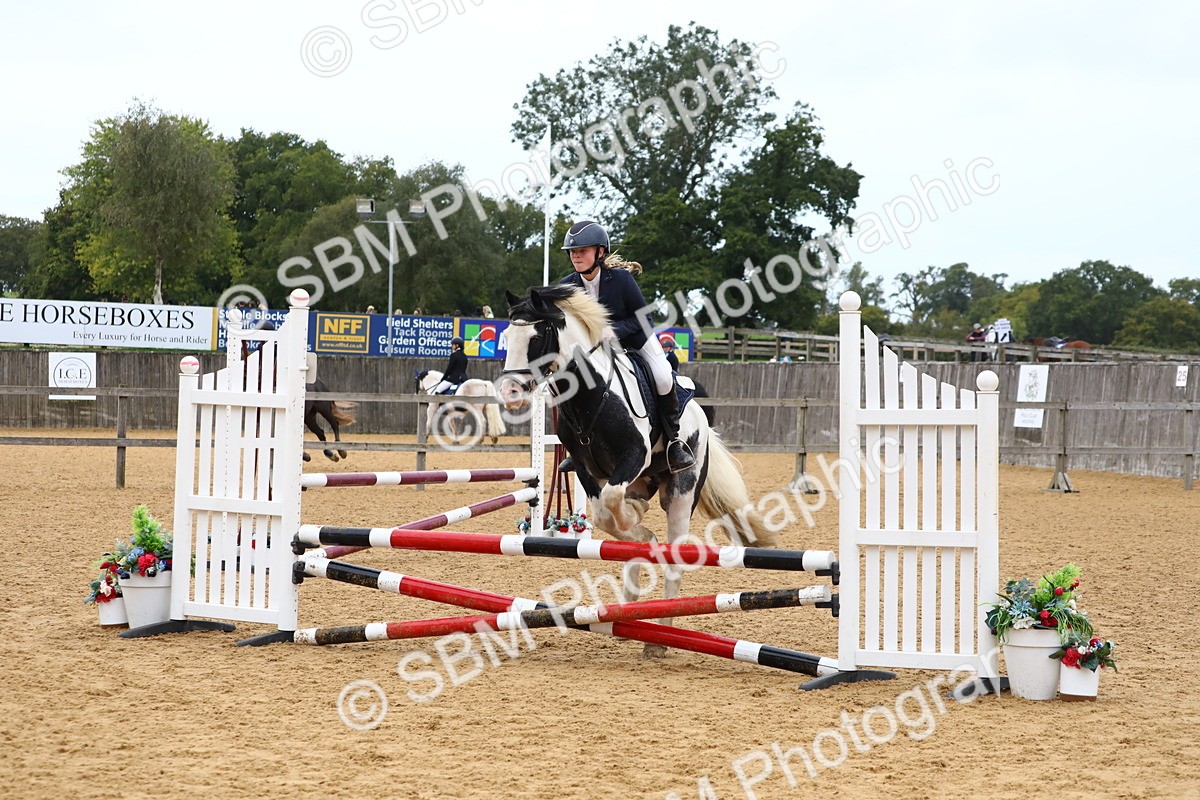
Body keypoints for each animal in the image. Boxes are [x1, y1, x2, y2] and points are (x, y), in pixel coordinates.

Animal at [498, 285, 776, 658]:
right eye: (506, 337)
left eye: (537, 336)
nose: (510, 394)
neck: (590, 397)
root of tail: (701, 418)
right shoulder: (585, 469)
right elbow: (605, 514)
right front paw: (640, 529)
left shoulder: (634, 457)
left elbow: (614, 504)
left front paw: (637, 525)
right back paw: (627, 610)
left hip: (681, 493)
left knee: (674, 557)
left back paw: (659, 636)